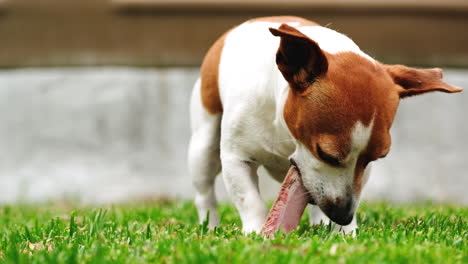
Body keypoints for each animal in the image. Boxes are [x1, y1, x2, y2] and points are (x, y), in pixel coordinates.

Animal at [187, 16, 460, 234]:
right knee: (204, 194)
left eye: (376, 157)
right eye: (326, 154)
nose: (344, 216)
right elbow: (250, 201)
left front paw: (345, 233)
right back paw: (209, 226)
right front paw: (255, 232)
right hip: (204, 147)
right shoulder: (237, 157)